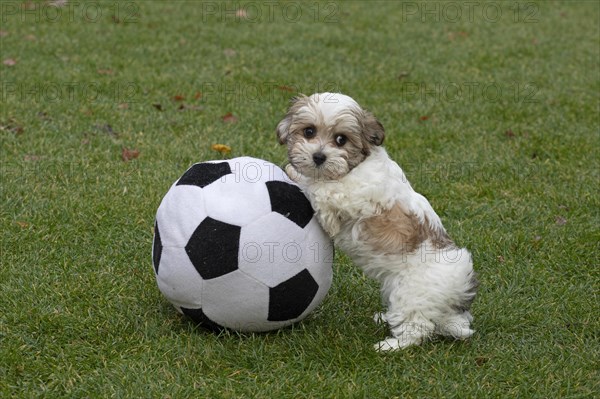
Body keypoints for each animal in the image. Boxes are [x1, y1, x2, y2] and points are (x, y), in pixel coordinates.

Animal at [276, 92, 478, 352]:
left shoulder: (350, 194)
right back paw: (386, 318)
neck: (355, 166)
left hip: (412, 293)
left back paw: (392, 345)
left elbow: (323, 188)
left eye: (341, 139)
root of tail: (459, 290)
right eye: (309, 131)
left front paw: (297, 175)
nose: (318, 157)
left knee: (418, 327)